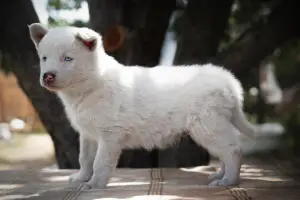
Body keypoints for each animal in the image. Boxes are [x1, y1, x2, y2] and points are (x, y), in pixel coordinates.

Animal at [28, 23, 262, 189]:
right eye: (44, 58)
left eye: (68, 58)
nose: (47, 76)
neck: (92, 83)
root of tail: (229, 82)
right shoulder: (88, 134)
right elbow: (84, 158)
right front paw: (80, 179)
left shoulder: (110, 136)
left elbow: (100, 162)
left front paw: (94, 185)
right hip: (213, 127)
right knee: (226, 152)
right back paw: (221, 175)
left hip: (207, 126)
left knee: (233, 151)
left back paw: (228, 182)